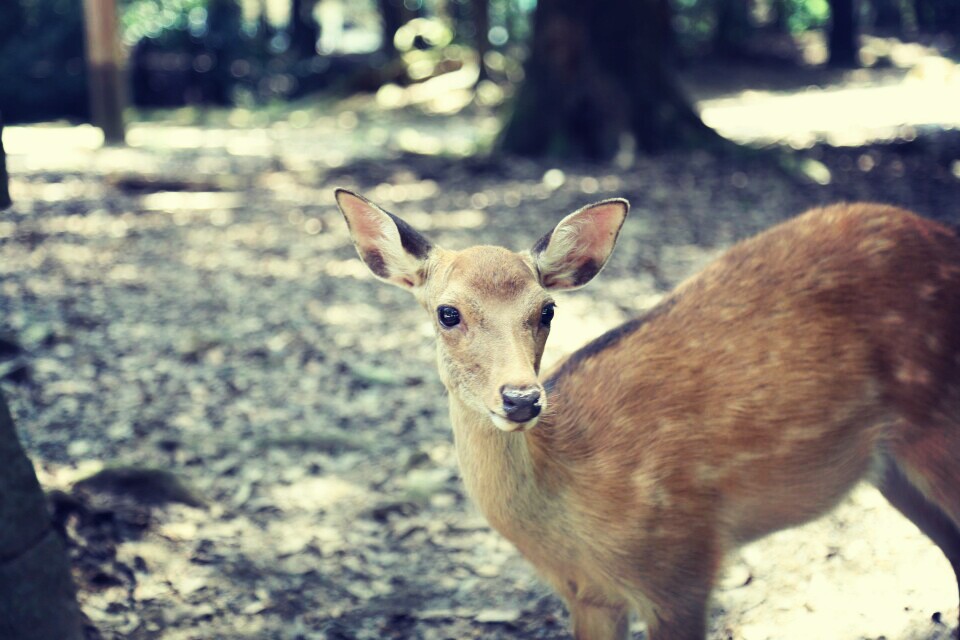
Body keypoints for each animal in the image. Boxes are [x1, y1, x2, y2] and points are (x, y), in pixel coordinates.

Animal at [336, 189, 960, 640]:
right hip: (891, 470)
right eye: (448, 312)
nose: (521, 398)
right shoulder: (587, 594)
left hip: (940, 424)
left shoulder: (682, 567)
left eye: (547, 309)